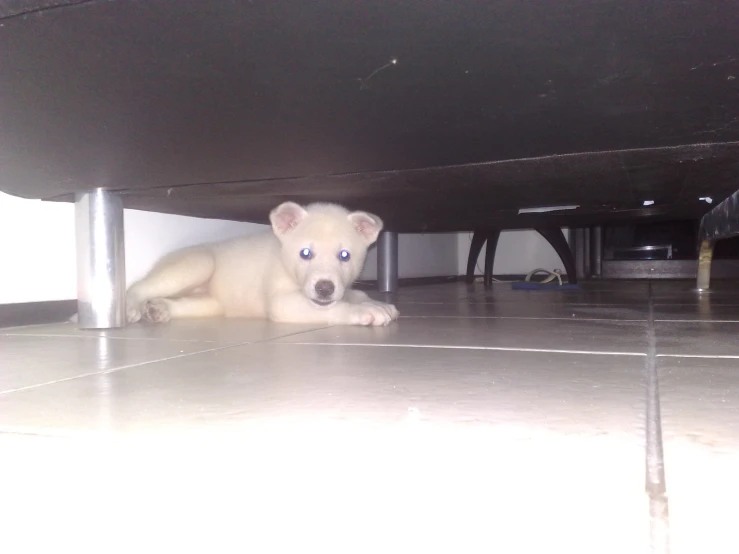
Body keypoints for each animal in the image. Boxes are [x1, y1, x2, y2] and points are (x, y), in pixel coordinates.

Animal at [125, 202, 398, 324]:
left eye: (344, 256)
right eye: (305, 253)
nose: (324, 288)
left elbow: (356, 293)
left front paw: (377, 303)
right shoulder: (281, 302)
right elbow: (334, 308)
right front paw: (364, 311)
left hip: (212, 304)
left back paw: (160, 308)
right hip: (198, 263)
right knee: (139, 286)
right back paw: (132, 307)